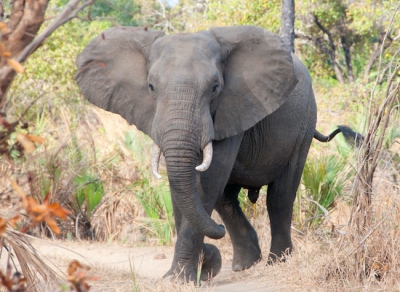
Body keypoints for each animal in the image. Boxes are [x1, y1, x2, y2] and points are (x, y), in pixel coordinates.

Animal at [74, 26, 360, 282]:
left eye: (215, 87)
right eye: (151, 87)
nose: (211, 249)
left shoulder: (234, 104)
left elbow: (209, 178)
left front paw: (182, 278)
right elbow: (182, 184)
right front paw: (186, 273)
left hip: (303, 126)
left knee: (280, 197)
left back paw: (276, 262)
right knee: (226, 197)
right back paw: (244, 264)